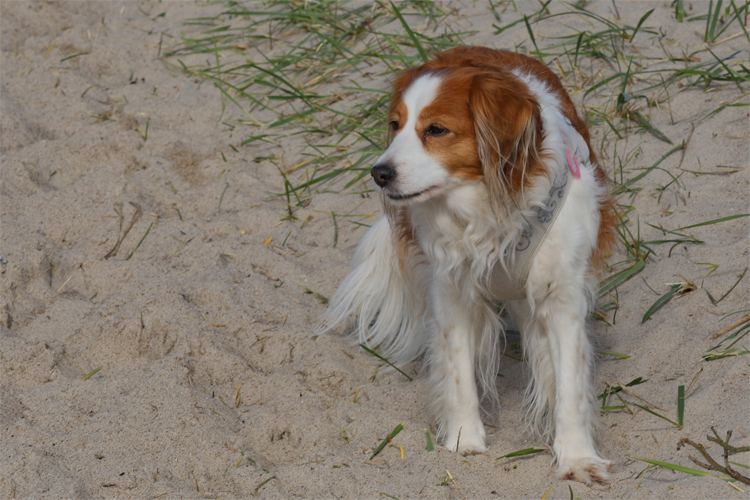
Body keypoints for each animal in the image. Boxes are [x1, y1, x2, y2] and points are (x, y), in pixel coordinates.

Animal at [322, 47, 616, 484]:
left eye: (436, 130)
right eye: (395, 125)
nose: (379, 173)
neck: (486, 209)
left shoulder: (562, 298)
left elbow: (570, 387)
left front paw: (577, 458)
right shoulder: (452, 292)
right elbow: (459, 373)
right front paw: (464, 441)